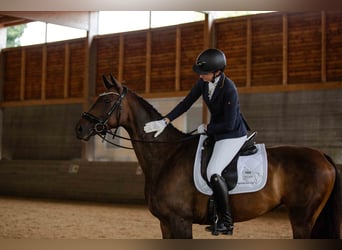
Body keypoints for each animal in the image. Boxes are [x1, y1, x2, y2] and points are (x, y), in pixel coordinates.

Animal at [76, 74, 340, 238]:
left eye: (107, 101)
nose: (79, 128)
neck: (166, 155)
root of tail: (322, 155)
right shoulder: (165, 223)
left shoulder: (180, 221)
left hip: (302, 218)